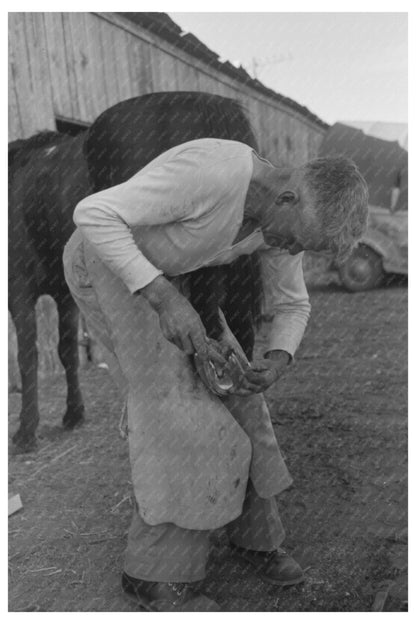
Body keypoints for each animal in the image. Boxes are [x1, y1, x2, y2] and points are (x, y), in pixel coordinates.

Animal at [7, 133, 88, 454]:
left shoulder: (17, 289)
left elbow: (27, 357)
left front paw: (26, 431)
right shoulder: (64, 294)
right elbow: (67, 350)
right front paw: (74, 413)